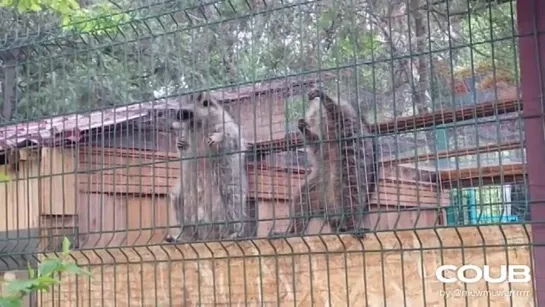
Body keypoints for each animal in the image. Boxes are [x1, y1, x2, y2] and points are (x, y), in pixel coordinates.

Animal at [164, 91, 251, 243]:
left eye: (184, 113)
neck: (198, 124)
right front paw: (179, 143)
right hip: (184, 195)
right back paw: (185, 236)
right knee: (178, 201)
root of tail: (208, 235)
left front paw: (220, 137)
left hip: (228, 184)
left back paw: (232, 232)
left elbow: (233, 137)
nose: (171, 126)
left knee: (232, 203)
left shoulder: (224, 122)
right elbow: (184, 152)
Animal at [270, 88, 376, 238]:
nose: (312, 121)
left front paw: (324, 97)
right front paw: (304, 129)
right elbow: (315, 143)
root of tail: (330, 208)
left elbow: (336, 112)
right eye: (312, 118)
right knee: (301, 201)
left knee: (350, 200)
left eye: (317, 115)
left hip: (349, 180)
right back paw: (294, 231)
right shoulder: (323, 144)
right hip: (315, 187)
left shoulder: (346, 123)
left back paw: (351, 225)